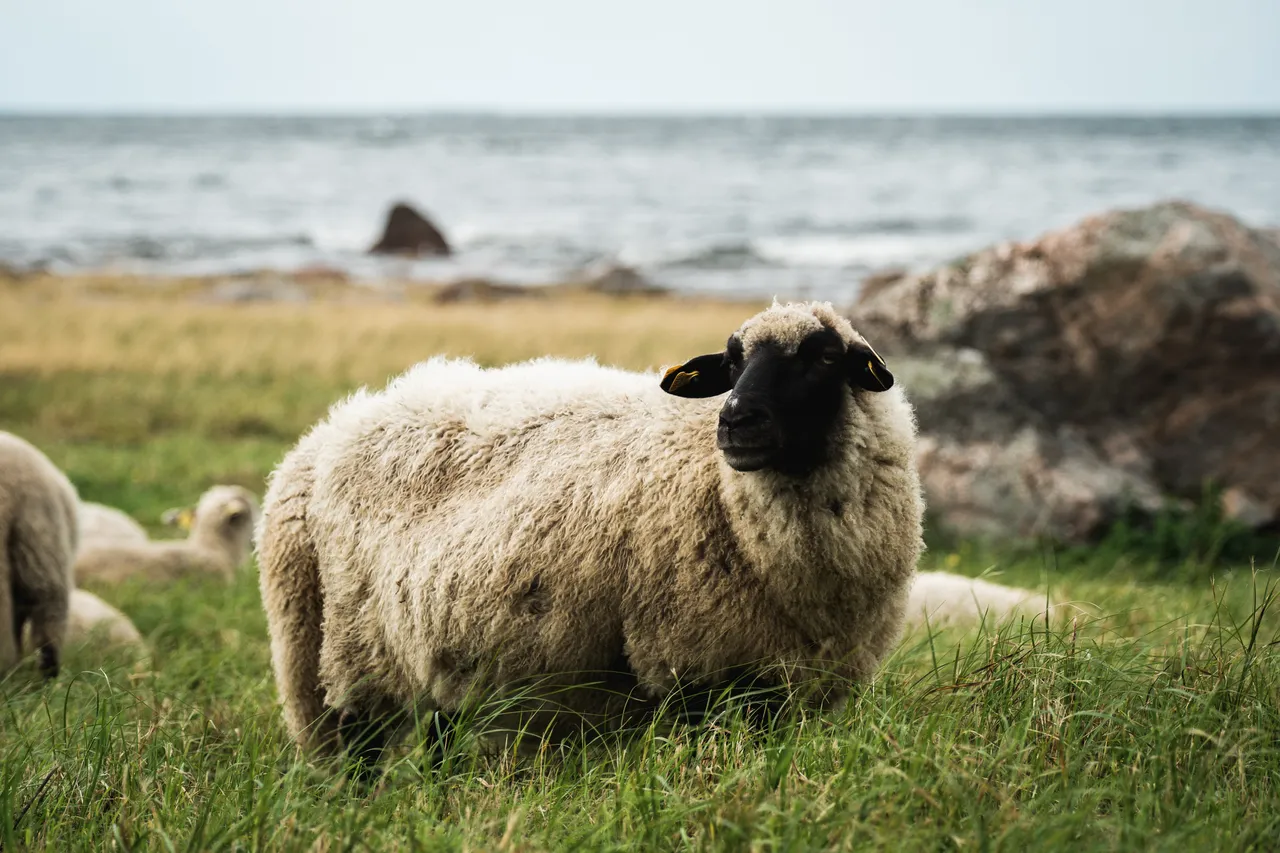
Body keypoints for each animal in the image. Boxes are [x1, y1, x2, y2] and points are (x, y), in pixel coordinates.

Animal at [258, 300, 925, 764]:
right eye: (732, 362)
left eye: (824, 358)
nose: (736, 421)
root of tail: (322, 435)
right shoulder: (690, 664)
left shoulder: (791, 684)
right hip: (343, 656)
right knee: (357, 757)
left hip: (441, 660)